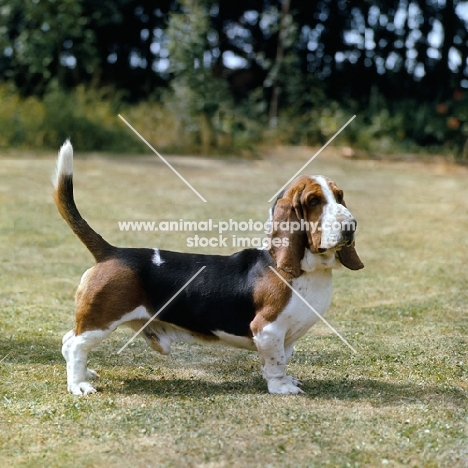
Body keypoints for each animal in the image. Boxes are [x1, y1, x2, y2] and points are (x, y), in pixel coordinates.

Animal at [54, 140, 362, 394]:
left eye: (339, 196)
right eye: (314, 201)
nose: (351, 226)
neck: (309, 271)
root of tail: (111, 252)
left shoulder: (286, 337)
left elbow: (283, 358)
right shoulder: (268, 330)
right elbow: (276, 364)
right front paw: (281, 387)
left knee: (69, 340)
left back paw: (84, 375)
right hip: (102, 320)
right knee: (75, 345)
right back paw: (78, 385)